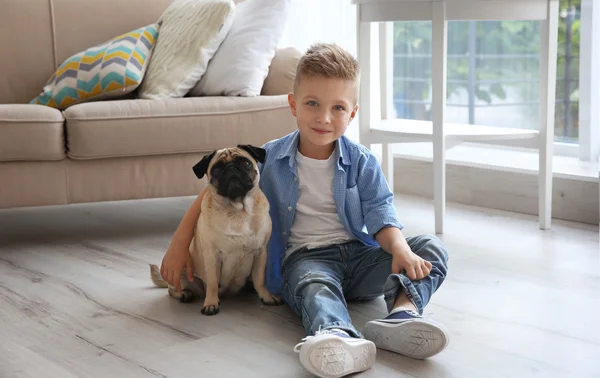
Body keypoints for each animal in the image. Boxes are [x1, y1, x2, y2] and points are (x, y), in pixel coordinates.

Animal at [149, 145, 282, 316]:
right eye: (217, 169)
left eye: (245, 163)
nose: (231, 169)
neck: (238, 211)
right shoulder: (212, 257)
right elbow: (212, 284)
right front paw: (211, 304)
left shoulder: (260, 252)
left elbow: (260, 279)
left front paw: (266, 296)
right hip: (182, 268)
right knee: (172, 289)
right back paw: (184, 294)